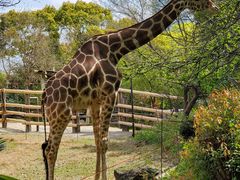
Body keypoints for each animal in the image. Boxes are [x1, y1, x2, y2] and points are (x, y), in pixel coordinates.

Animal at [41, 0, 218, 179]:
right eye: (200, 0)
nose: (215, 8)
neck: (115, 49)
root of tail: (44, 94)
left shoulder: (95, 101)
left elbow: (98, 141)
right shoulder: (110, 92)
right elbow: (104, 142)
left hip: (56, 115)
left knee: (48, 147)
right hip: (62, 113)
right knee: (50, 150)